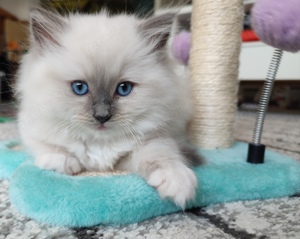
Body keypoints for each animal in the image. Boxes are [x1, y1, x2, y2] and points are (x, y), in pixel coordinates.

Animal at [15, 7, 202, 207]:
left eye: (124, 88)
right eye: (79, 88)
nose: (102, 116)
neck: (99, 143)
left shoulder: (155, 137)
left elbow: (161, 154)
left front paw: (176, 181)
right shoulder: (32, 128)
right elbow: (48, 147)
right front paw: (65, 162)